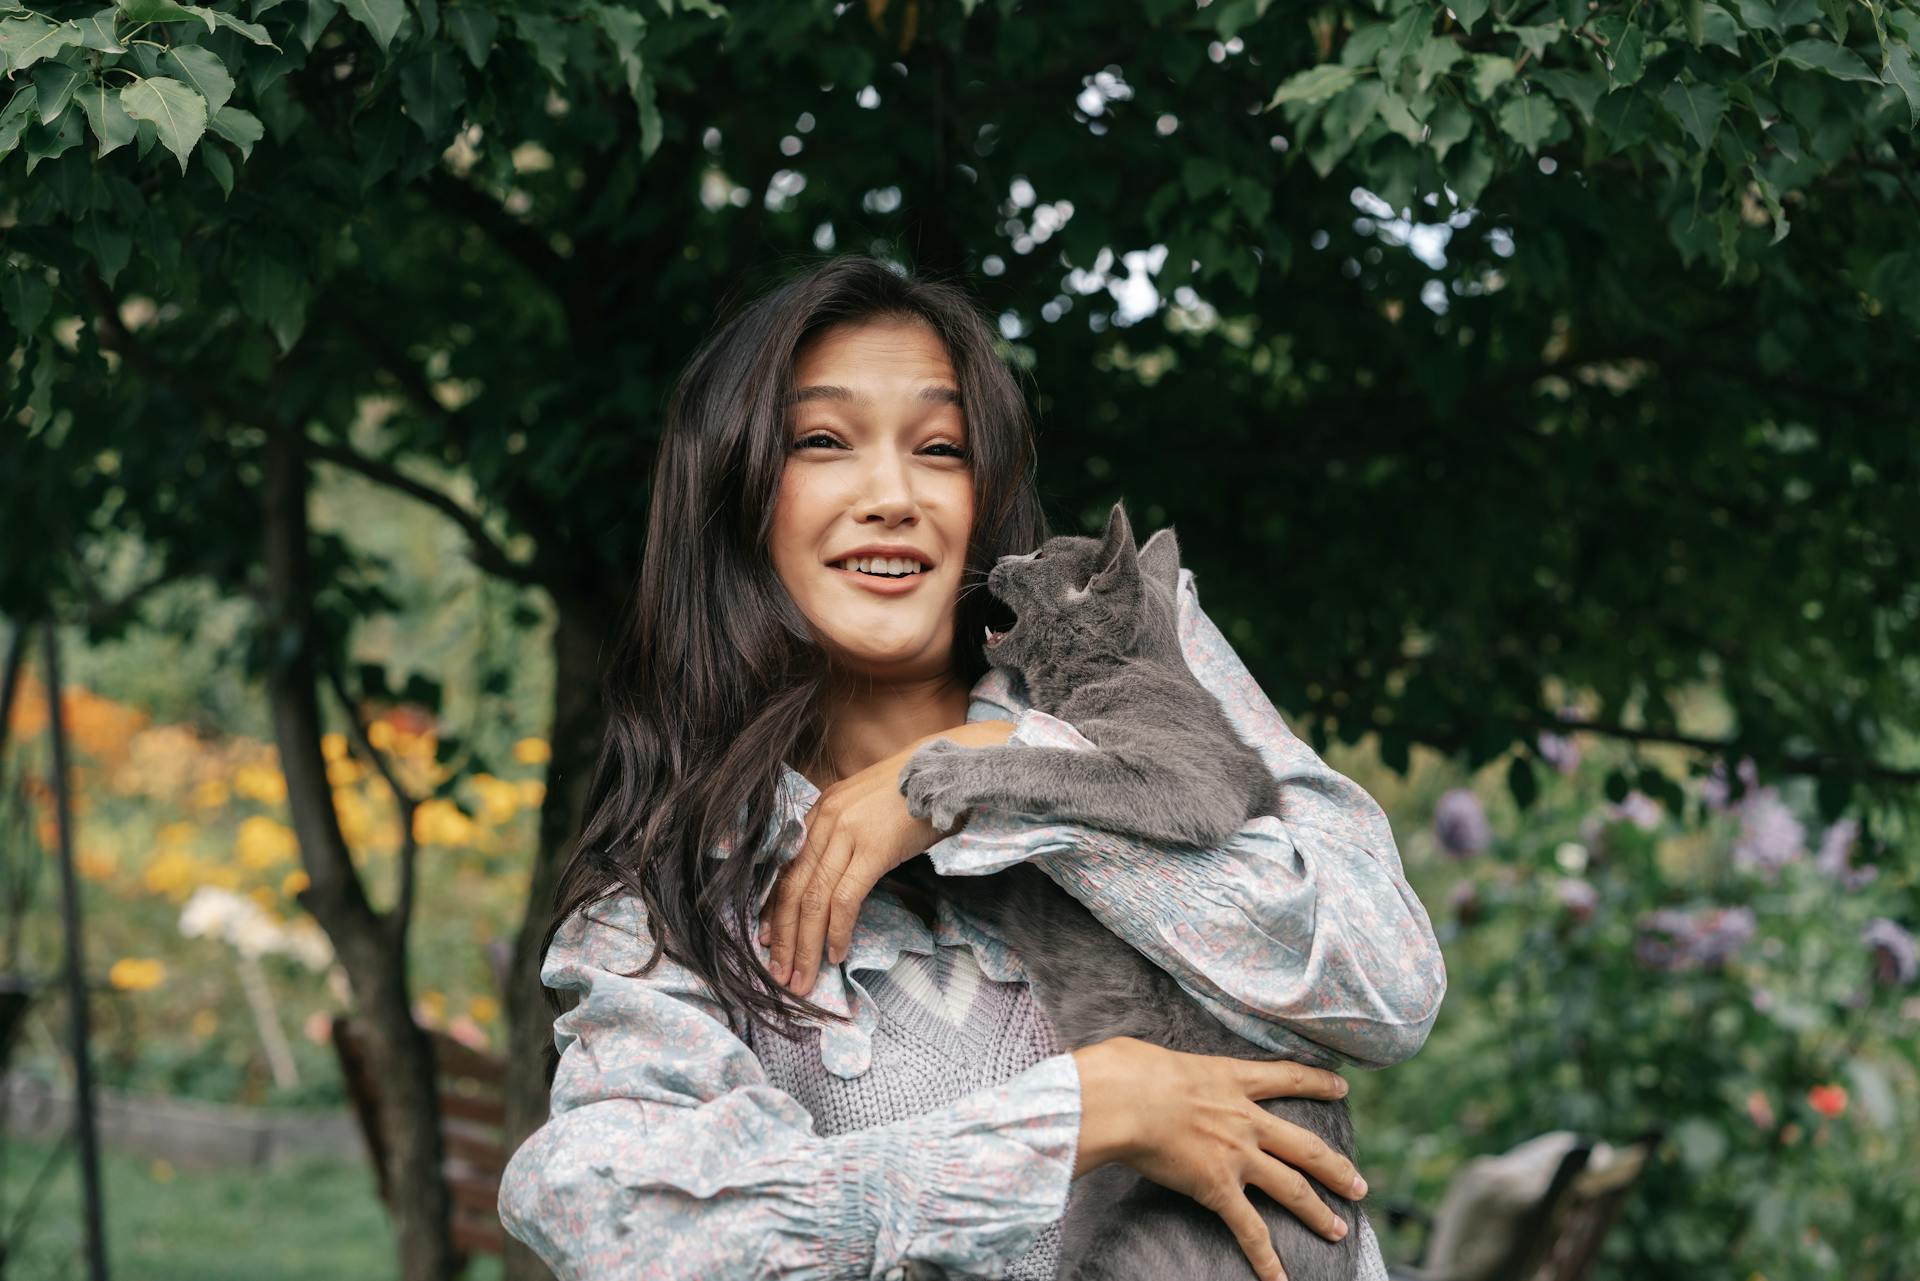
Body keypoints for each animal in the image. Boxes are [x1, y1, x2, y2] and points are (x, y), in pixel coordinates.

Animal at [887, 503, 1367, 1281]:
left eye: (1042, 555)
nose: (1002, 556)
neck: (1119, 668)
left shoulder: (1185, 780)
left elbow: (1053, 760)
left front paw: (943, 770)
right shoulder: (1026, 892)